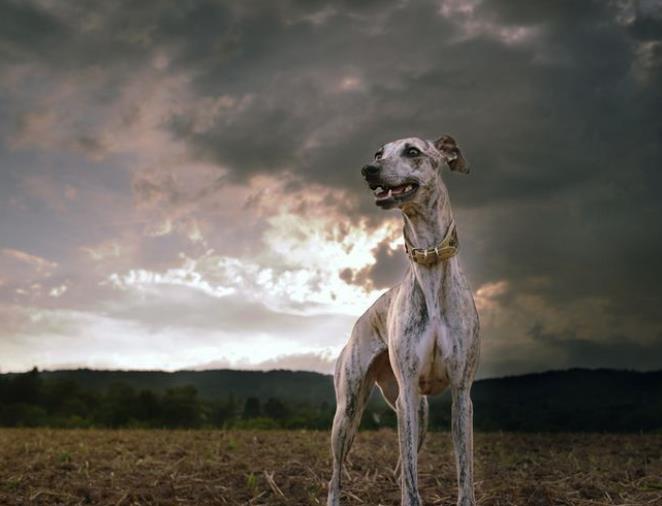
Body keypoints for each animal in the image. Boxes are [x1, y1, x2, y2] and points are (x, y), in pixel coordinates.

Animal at [328, 135, 480, 506]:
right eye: (378, 153)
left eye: (412, 151)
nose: (368, 169)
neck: (430, 261)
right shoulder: (408, 391)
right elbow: (411, 479)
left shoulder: (461, 392)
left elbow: (464, 469)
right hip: (349, 409)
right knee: (336, 471)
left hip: (418, 410)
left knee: (405, 456)